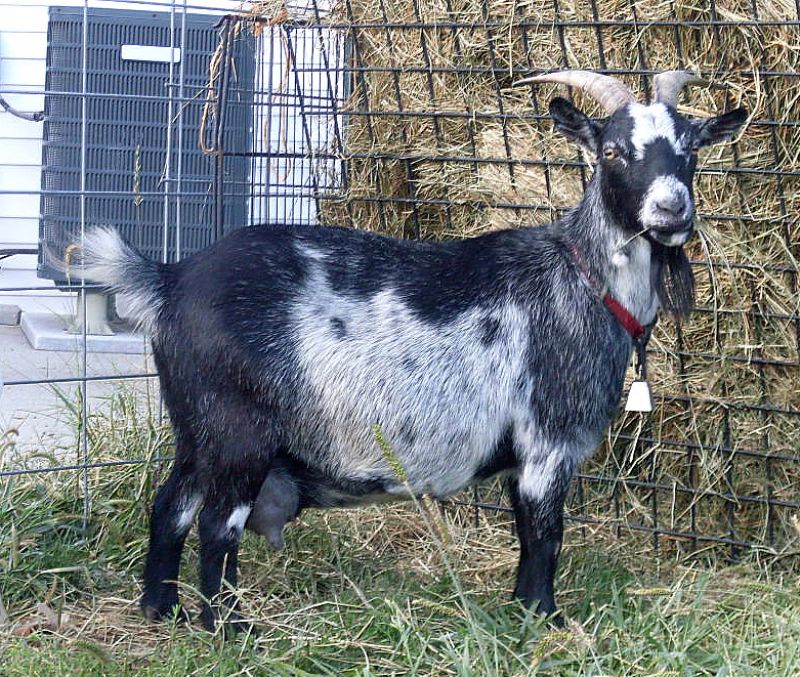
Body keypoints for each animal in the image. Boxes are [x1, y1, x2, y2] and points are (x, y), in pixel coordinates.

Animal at [78, 70, 746, 632]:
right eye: (611, 150)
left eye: (691, 149)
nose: (671, 209)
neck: (584, 278)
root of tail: (169, 280)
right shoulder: (549, 442)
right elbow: (546, 537)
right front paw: (547, 622)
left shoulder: (526, 455)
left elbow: (527, 535)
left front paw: (522, 614)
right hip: (239, 427)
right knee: (219, 526)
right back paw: (230, 627)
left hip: (197, 425)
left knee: (171, 507)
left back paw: (160, 610)